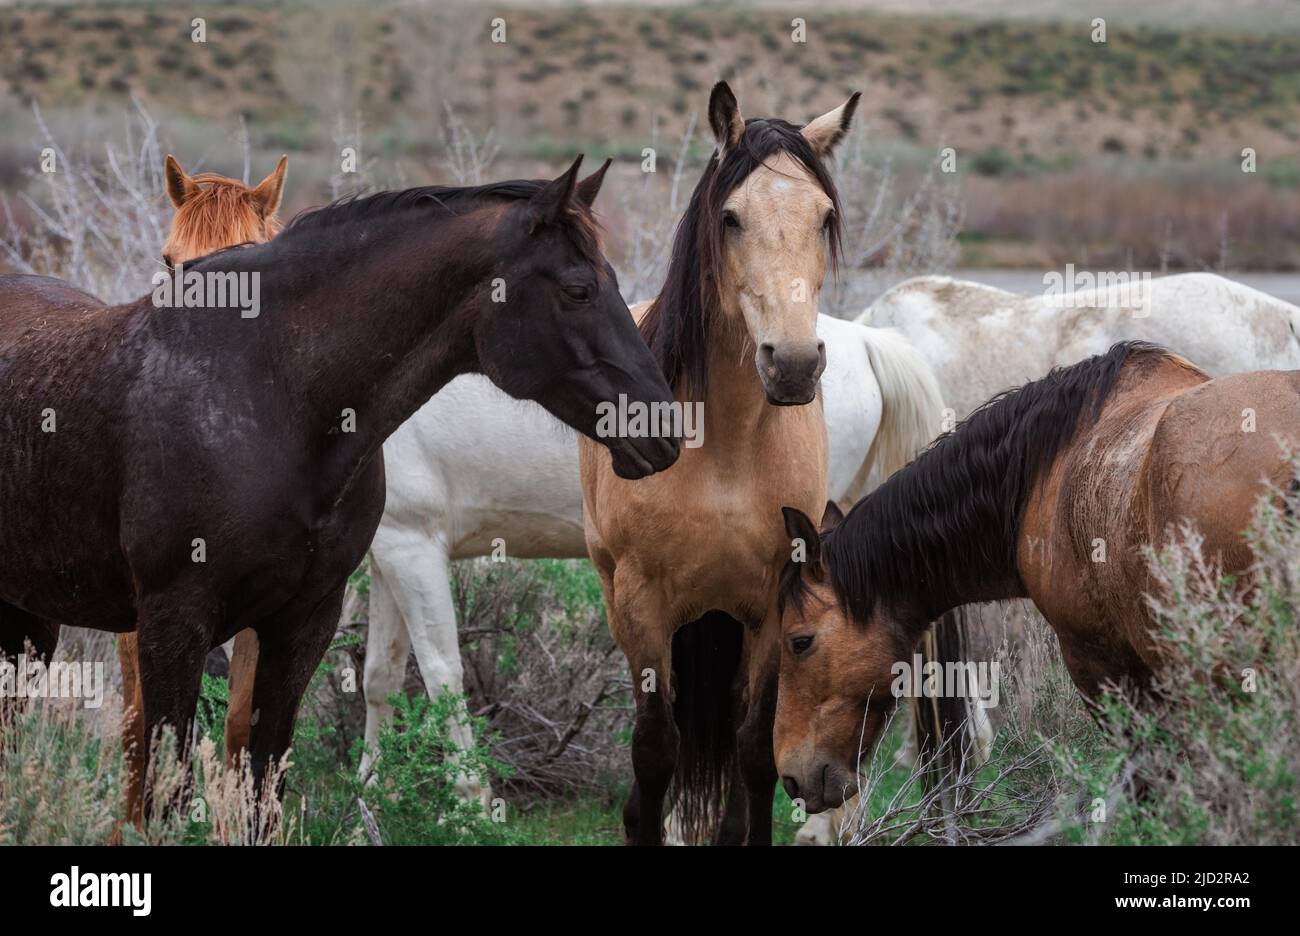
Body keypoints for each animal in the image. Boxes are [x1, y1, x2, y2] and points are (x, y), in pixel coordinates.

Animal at [0, 156, 680, 816]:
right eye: (578, 289)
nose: (666, 425)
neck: (262, 390)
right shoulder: (176, 624)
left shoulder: (306, 619)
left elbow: (269, 779)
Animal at [578, 81, 875, 845]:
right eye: (732, 217)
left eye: (825, 216)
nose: (793, 363)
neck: (726, 450)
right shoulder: (643, 605)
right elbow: (655, 753)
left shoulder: (772, 607)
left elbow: (753, 752)